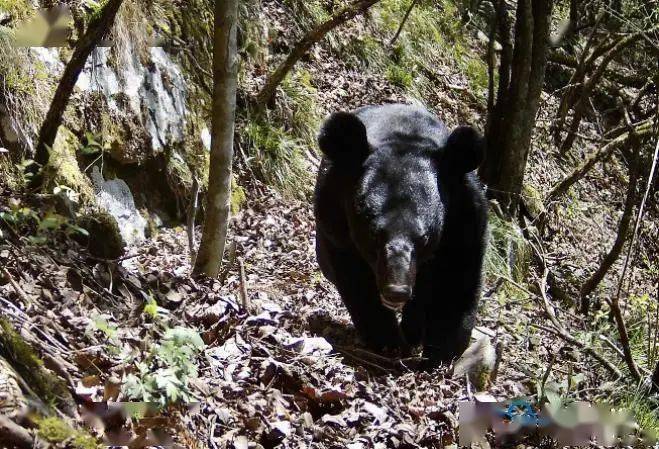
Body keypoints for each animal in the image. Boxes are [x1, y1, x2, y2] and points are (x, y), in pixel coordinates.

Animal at [314, 103, 490, 366]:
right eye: (374, 234)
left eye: (424, 238)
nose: (396, 291)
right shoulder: (334, 219)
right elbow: (355, 280)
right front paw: (388, 342)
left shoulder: (464, 222)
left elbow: (455, 282)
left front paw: (439, 355)